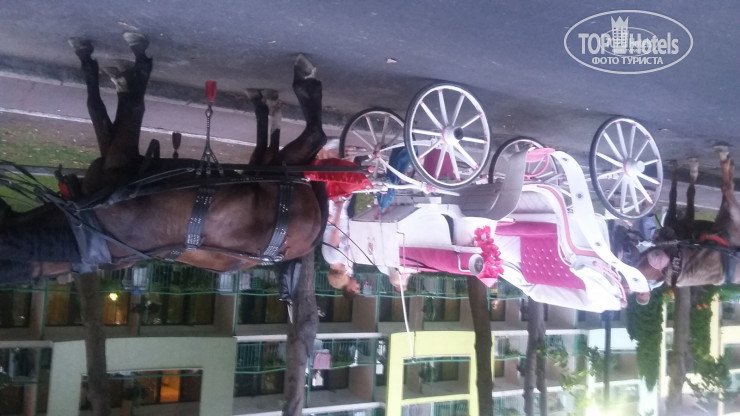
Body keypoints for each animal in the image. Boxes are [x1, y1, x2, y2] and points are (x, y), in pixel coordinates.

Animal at [0, 33, 329, 284]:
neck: (87, 223)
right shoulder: (119, 158)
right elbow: (110, 108)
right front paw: (123, 70)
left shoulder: (120, 156)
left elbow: (111, 106)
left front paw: (125, 66)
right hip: (272, 172)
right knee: (294, 142)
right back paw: (273, 100)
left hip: (276, 174)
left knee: (315, 135)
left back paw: (291, 88)